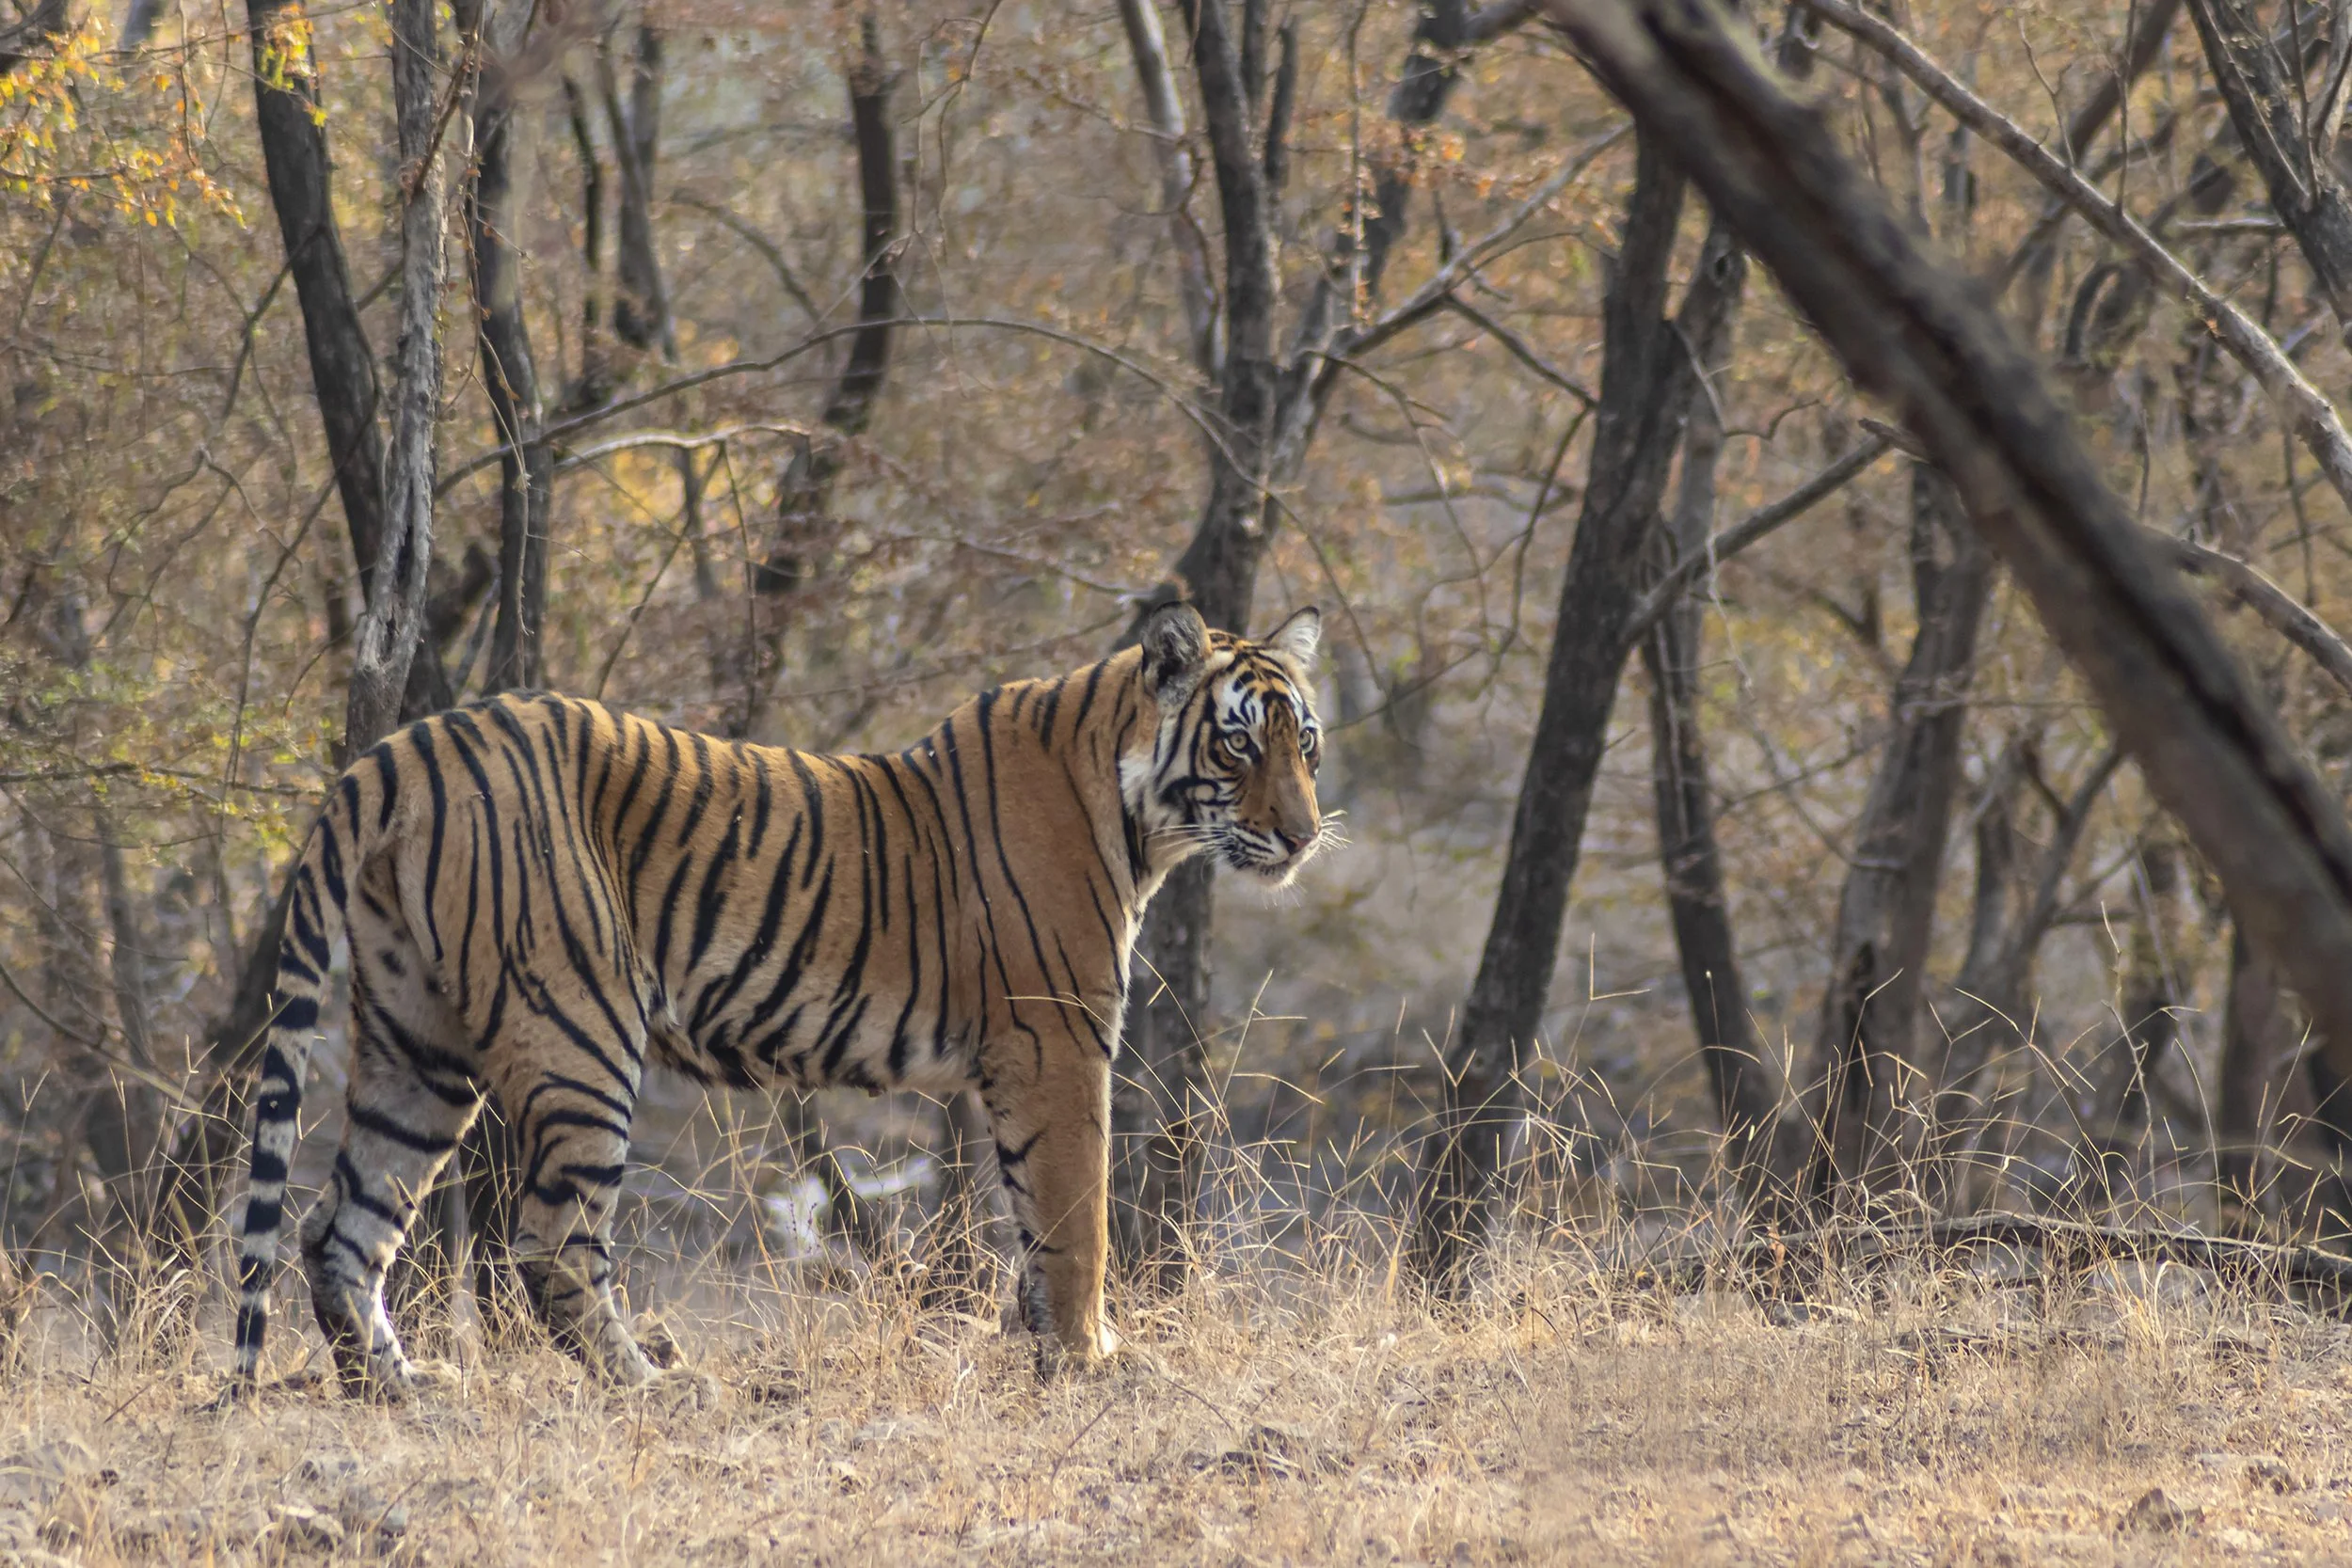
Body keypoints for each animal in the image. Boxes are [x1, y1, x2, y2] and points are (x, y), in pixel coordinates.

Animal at [229, 601, 1328, 1396]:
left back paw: (400, 1389)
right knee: (548, 1243)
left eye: (1306, 743)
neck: (1134, 809)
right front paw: (1093, 1358)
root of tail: (405, 745)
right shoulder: (1057, 1033)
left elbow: (1032, 1215)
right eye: (1238, 745)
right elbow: (1076, 1213)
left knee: (340, 1228)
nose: (1306, 835)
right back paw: (654, 1385)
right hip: (580, 1028)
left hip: (418, 1043)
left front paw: (1042, 1344)